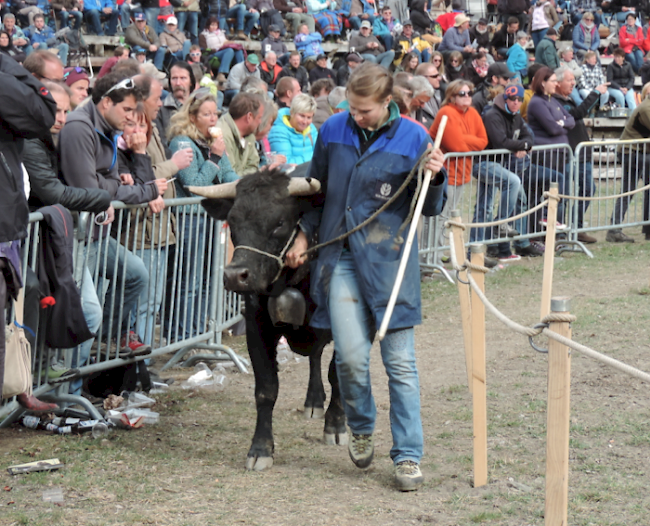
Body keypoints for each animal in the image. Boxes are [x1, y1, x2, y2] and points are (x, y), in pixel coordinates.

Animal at [190, 170, 346, 474]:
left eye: (280, 222)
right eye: (233, 221)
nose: (234, 275)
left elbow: (338, 373)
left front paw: (336, 425)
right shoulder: (256, 327)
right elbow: (266, 390)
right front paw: (260, 449)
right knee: (315, 355)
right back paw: (313, 400)